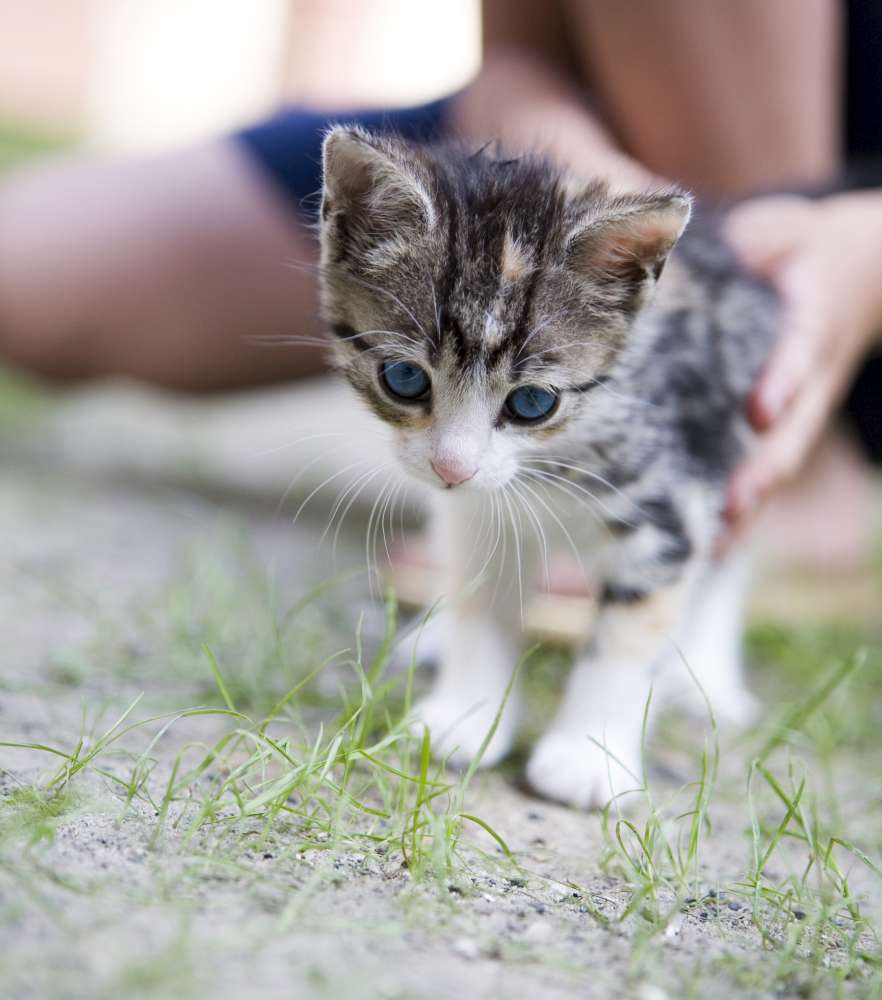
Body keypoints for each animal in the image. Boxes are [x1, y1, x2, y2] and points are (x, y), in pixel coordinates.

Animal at [320, 127, 772, 812]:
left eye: (533, 403)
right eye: (403, 378)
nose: (451, 467)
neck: (555, 460)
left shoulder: (674, 497)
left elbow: (630, 630)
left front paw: (589, 757)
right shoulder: (477, 508)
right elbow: (482, 600)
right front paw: (467, 717)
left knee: (730, 558)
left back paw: (707, 679)